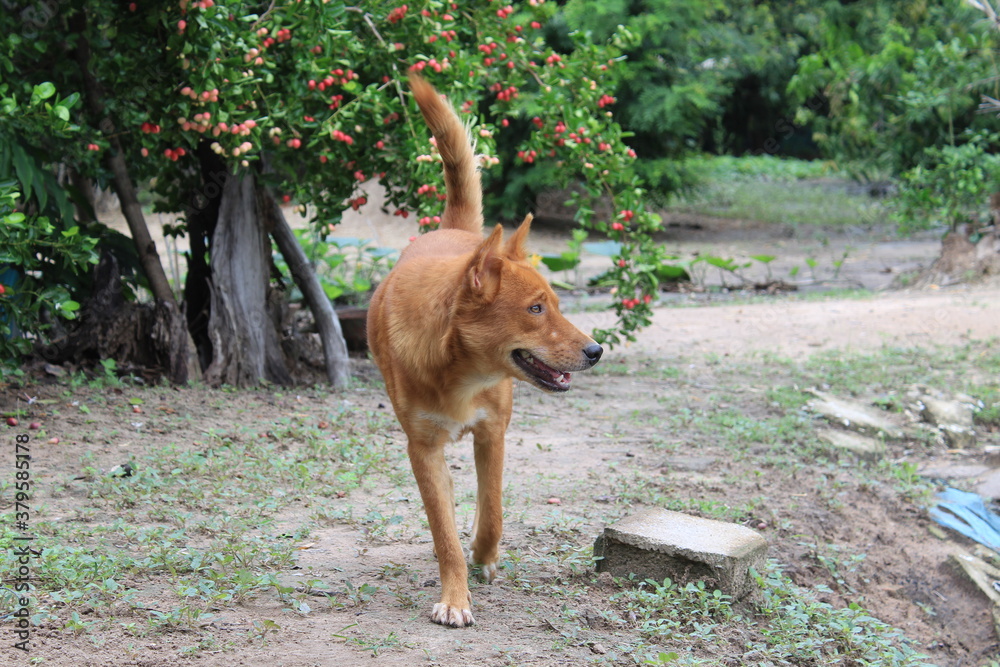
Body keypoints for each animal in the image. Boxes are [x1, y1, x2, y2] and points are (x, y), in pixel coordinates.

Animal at [368, 75, 600, 628]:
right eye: (536, 309)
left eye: (556, 304)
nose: (596, 350)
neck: (459, 373)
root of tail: (455, 231)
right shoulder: (422, 449)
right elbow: (443, 534)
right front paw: (456, 595)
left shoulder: (494, 432)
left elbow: (492, 510)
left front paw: (484, 554)